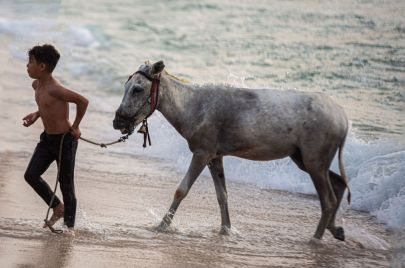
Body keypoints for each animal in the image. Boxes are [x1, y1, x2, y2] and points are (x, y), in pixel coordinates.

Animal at [113, 60, 350, 241]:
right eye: (126, 86)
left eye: (138, 89)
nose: (117, 122)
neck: (191, 107)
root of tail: (343, 118)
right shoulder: (215, 156)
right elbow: (222, 195)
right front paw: (225, 230)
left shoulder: (202, 152)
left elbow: (182, 190)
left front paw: (162, 226)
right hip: (303, 157)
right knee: (338, 184)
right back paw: (335, 229)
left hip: (314, 159)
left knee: (328, 199)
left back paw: (316, 239)